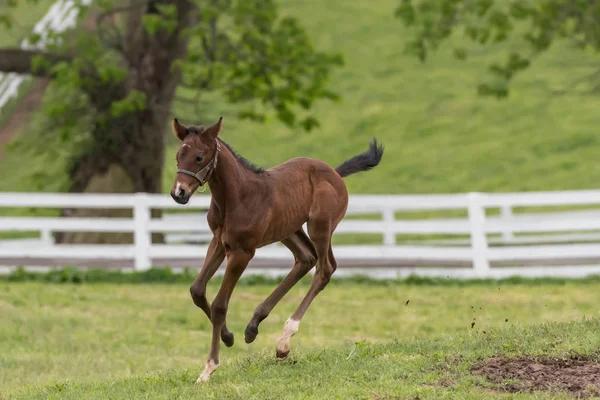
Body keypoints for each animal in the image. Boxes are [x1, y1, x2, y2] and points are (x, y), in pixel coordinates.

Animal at [169, 117, 384, 382]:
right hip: (289, 229)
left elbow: (220, 305)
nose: (179, 193)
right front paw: (228, 337)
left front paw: (209, 367)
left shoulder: (242, 251)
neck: (237, 196)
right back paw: (253, 326)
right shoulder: (219, 242)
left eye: (199, 157)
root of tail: (335, 173)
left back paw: (283, 341)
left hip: (320, 226)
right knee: (306, 258)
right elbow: (197, 290)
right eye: (179, 156)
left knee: (325, 268)